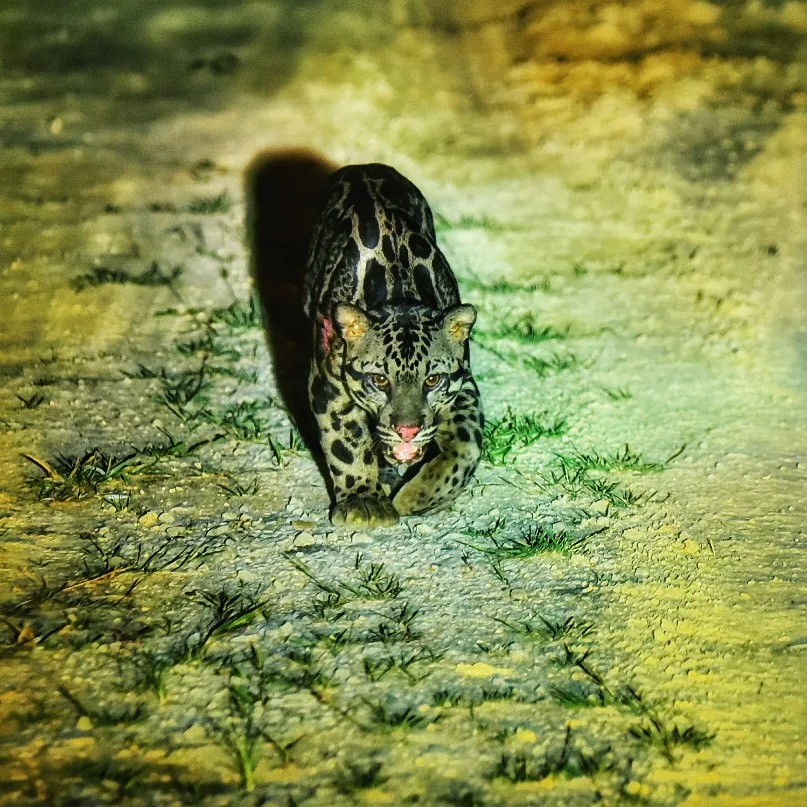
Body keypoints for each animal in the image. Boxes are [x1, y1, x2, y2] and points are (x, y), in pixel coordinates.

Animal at [304, 163, 483, 528]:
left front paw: (417, 498)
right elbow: (347, 441)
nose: (408, 431)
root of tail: (362, 166)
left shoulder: (464, 383)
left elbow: (467, 445)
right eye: (380, 380)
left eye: (433, 380)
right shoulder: (328, 383)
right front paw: (363, 502)